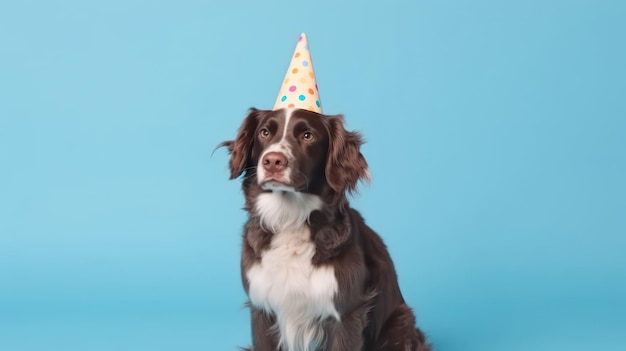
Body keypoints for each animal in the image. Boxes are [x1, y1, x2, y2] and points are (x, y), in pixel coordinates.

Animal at [219, 108, 428, 351]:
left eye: (308, 135)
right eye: (264, 132)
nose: (272, 161)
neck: (290, 219)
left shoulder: (346, 313)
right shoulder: (261, 307)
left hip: (399, 324)